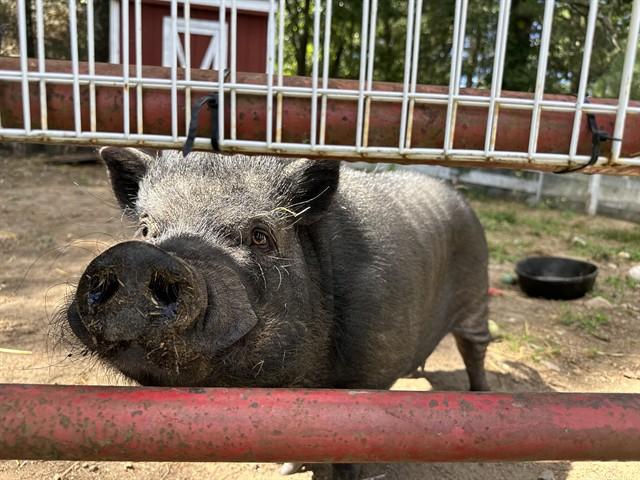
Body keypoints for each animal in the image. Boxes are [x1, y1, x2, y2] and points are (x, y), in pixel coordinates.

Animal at [61, 147, 491, 479]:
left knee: (475, 349)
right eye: (147, 229)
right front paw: (286, 468)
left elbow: (348, 457)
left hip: (477, 294)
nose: (136, 257)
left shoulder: (365, 380)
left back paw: (482, 395)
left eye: (260, 235)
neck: (304, 379)